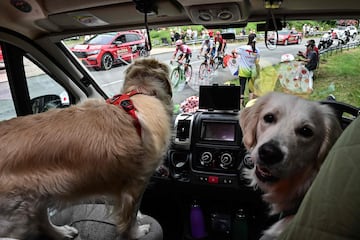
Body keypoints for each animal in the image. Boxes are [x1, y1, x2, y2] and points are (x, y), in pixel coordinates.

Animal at [0, 58, 173, 240]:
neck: (140, 93)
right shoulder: (137, 183)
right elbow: (129, 215)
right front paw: (136, 232)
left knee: (42, 220)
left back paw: (62, 232)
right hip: (16, 214)